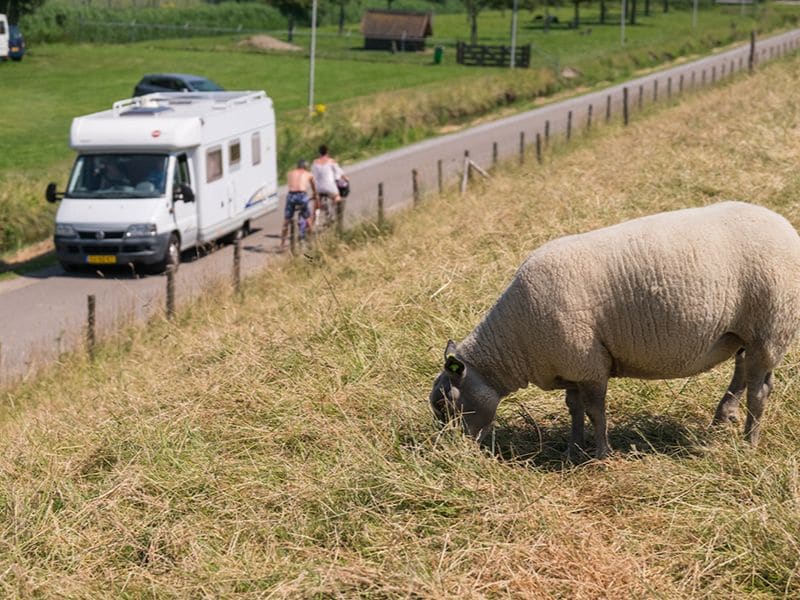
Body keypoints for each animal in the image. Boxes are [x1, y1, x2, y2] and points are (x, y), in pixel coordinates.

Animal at [432, 202, 800, 460]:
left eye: (446, 405)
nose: (455, 452)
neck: (515, 341)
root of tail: (785, 227)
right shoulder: (572, 365)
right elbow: (575, 408)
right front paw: (572, 449)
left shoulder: (590, 363)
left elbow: (596, 412)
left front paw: (600, 454)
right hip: (743, 332)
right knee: (743, 371)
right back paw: (724, 416)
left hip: (771, 325)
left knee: (759, 390)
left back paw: (749, 443)